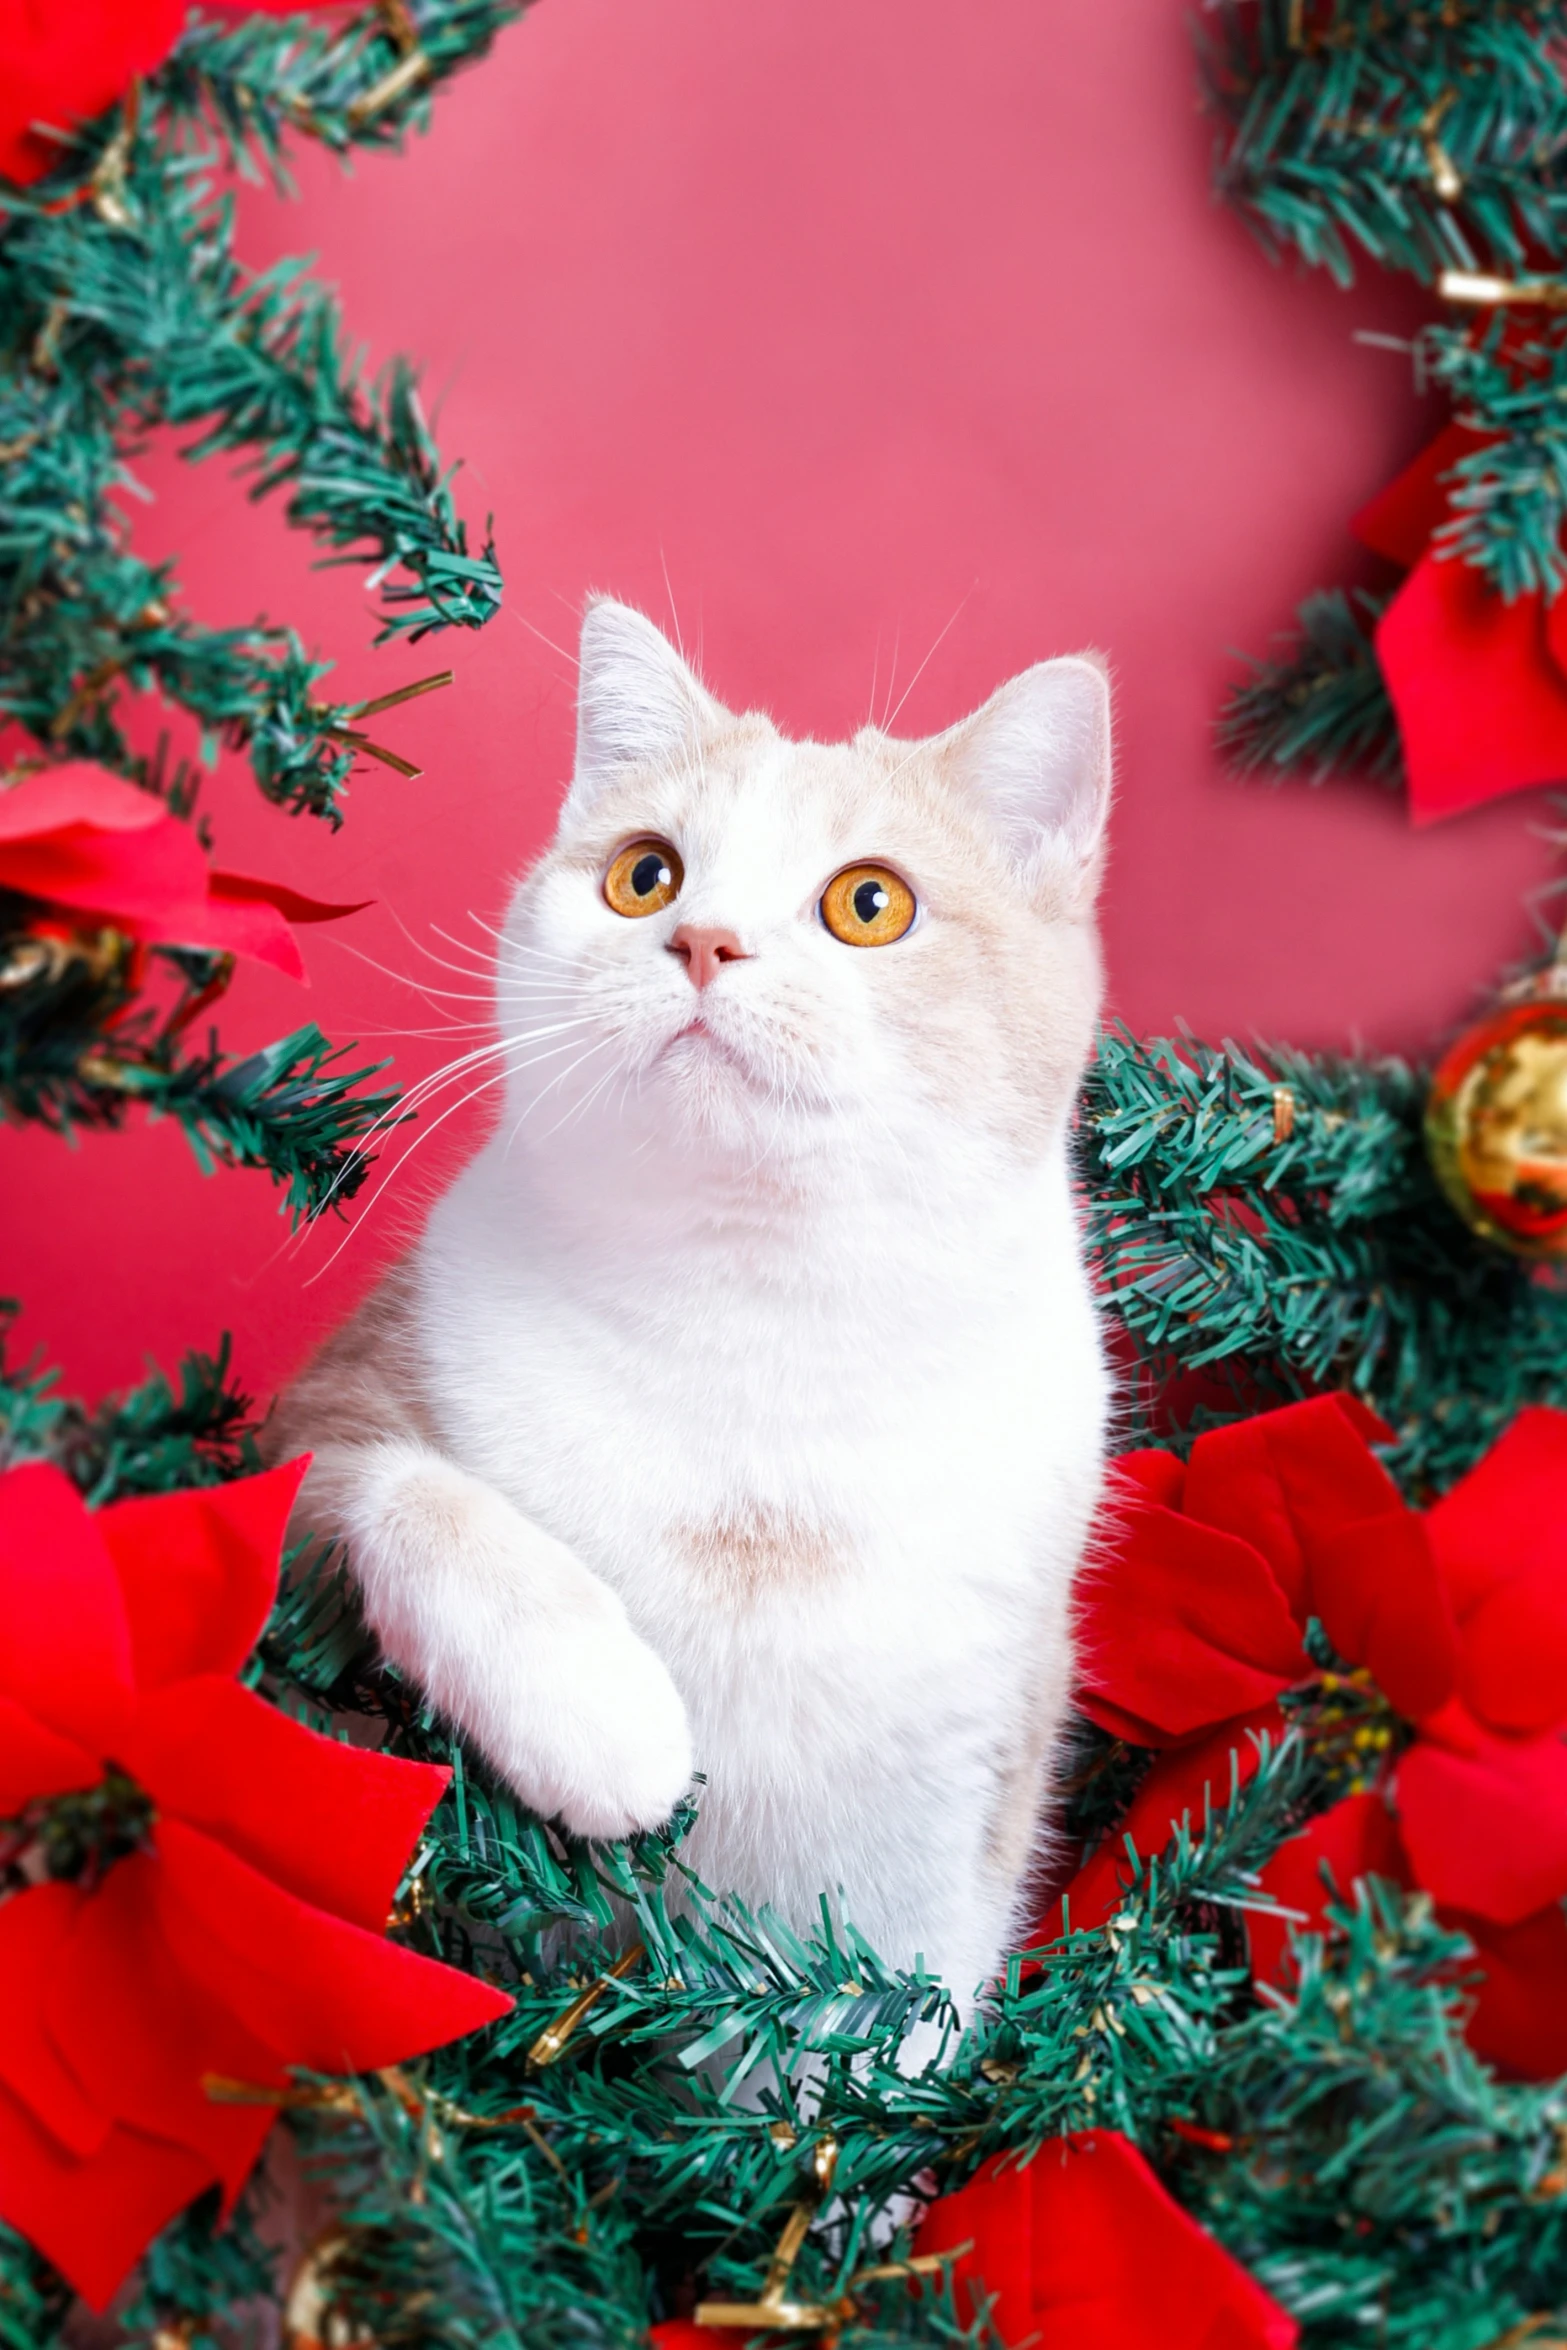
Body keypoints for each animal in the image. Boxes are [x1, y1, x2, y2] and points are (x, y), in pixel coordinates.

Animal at [281, 596, 1113, 2011]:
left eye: (870, 902)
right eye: (644, 875)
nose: (702, 941)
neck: (751, 1314)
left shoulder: (954, 1792)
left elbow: (896, 2008)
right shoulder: (292, 1446)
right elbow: (401, 1489)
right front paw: (600, 1715)